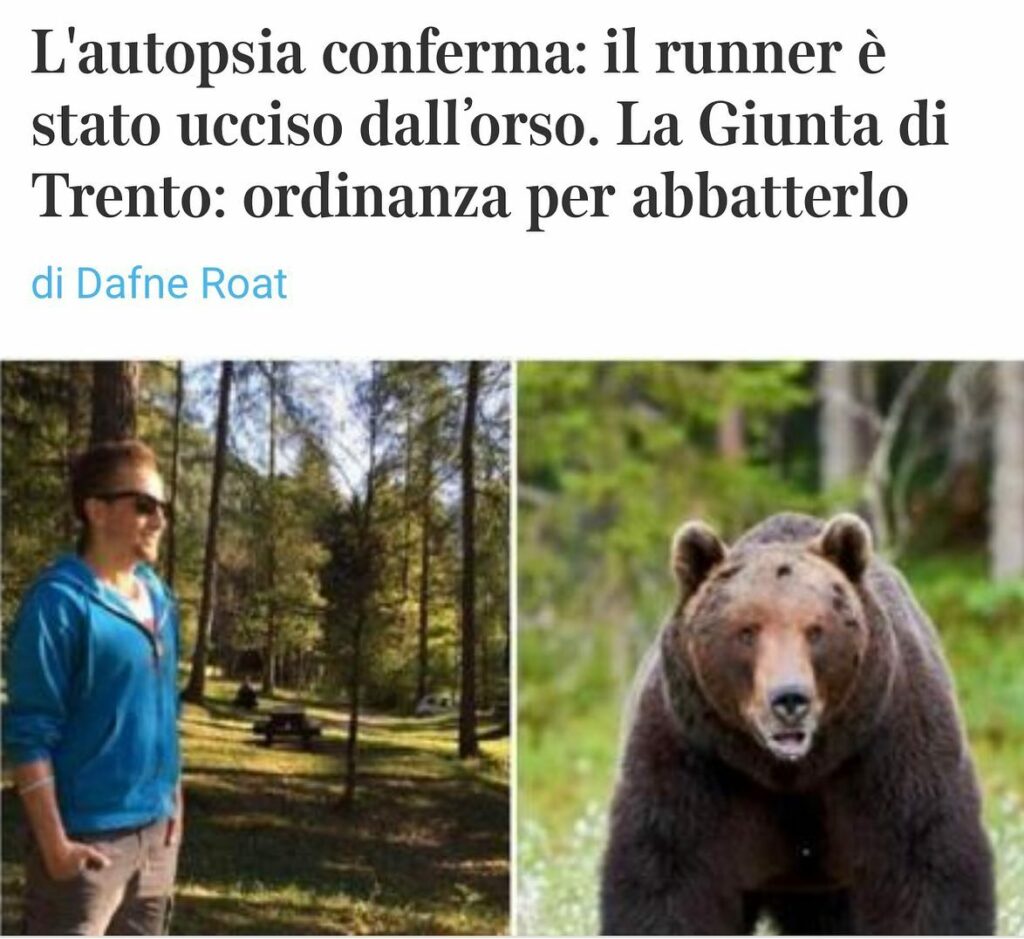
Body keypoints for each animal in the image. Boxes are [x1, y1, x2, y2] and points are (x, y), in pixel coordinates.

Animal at [600, 512, 995, 935]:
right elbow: (669, 880)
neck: (792, 770)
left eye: (816, 629)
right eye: (747, 630)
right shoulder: (692, 759)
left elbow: (923, 867)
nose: (790, 699)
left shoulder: (888, 749)